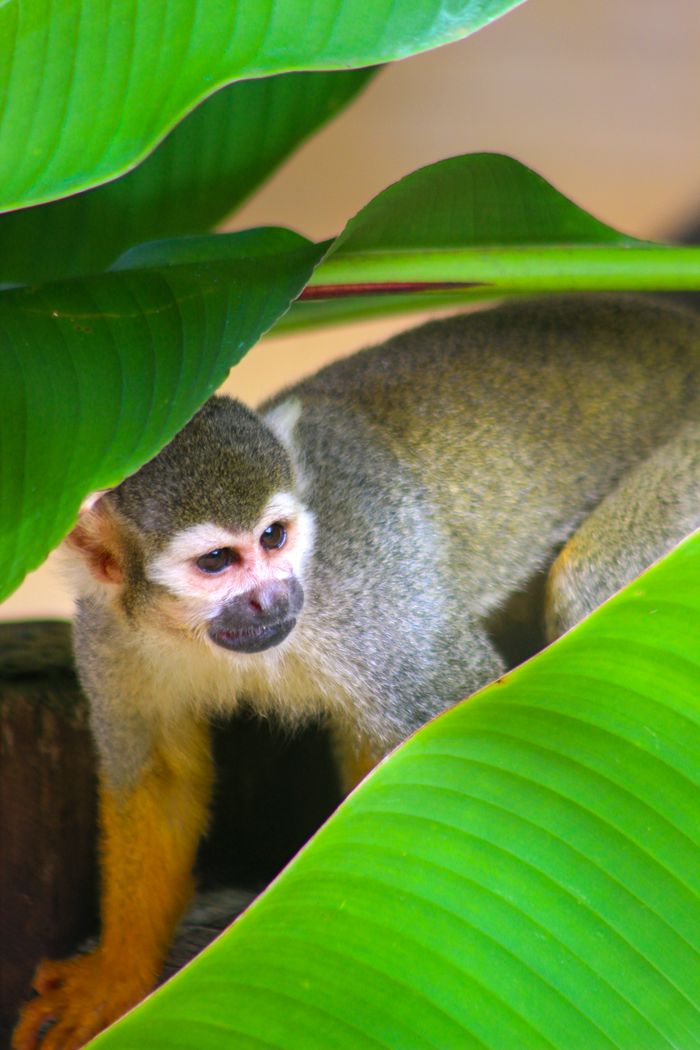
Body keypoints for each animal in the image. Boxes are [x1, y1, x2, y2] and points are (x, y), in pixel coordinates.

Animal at [13, 295, 700, 1049]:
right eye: (218, 561)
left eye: (275, 538)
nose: (273, 598)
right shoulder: (109, 631)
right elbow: (157, 776)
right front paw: (116, 980)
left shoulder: (373, 587)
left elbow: (459, 730)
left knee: (587, 581)